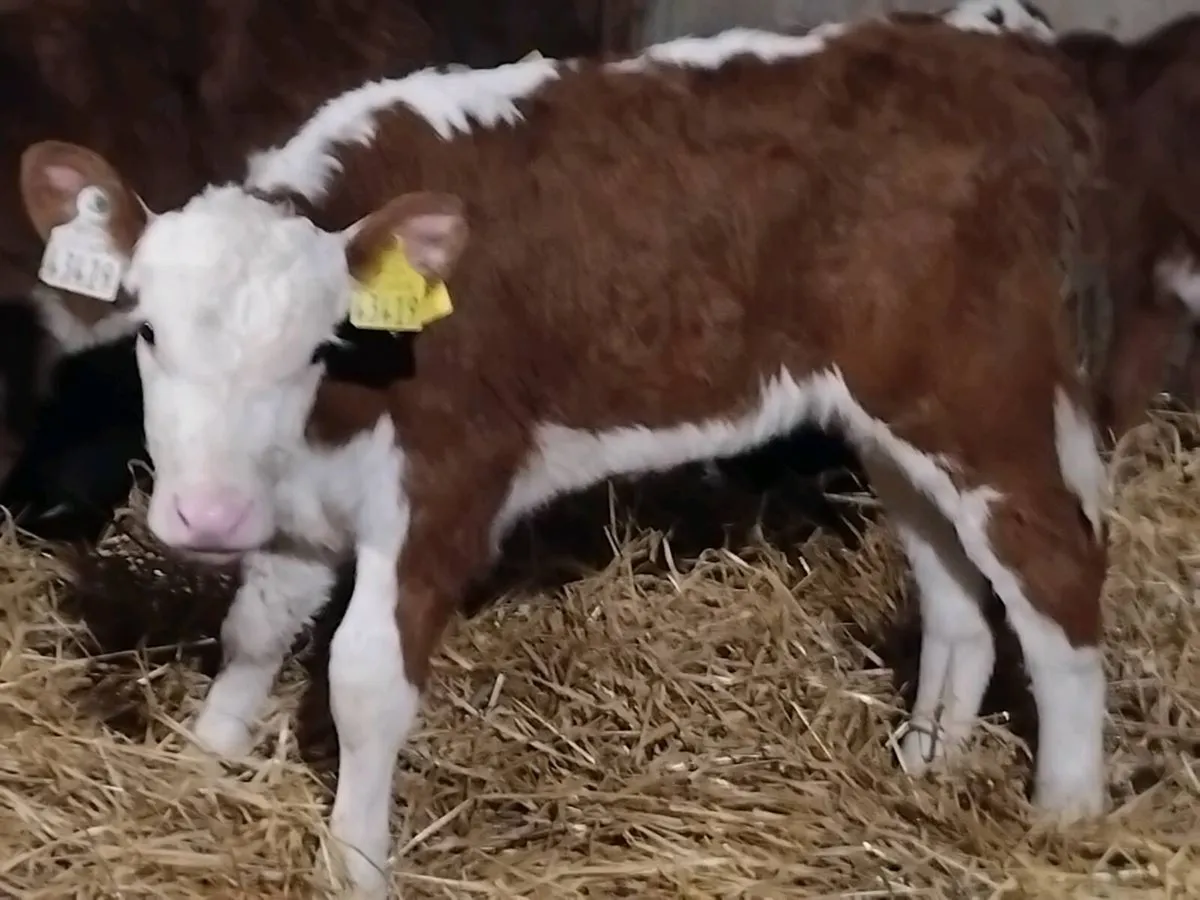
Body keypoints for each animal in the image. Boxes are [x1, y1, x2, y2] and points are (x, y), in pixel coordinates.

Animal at [20, 19, 1121, 896]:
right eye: (148, 331)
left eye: (318, 346)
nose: (205, 517)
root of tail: (989, 52)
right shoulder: (302, 503)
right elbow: (253, 630)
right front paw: (200, 766)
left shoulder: (449, 484)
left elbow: (364, 680)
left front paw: (356, 863)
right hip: (885, 415)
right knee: (956, 591)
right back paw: (925, 762)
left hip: (975, 395)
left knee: (1055, 568)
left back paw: (1066, 812)